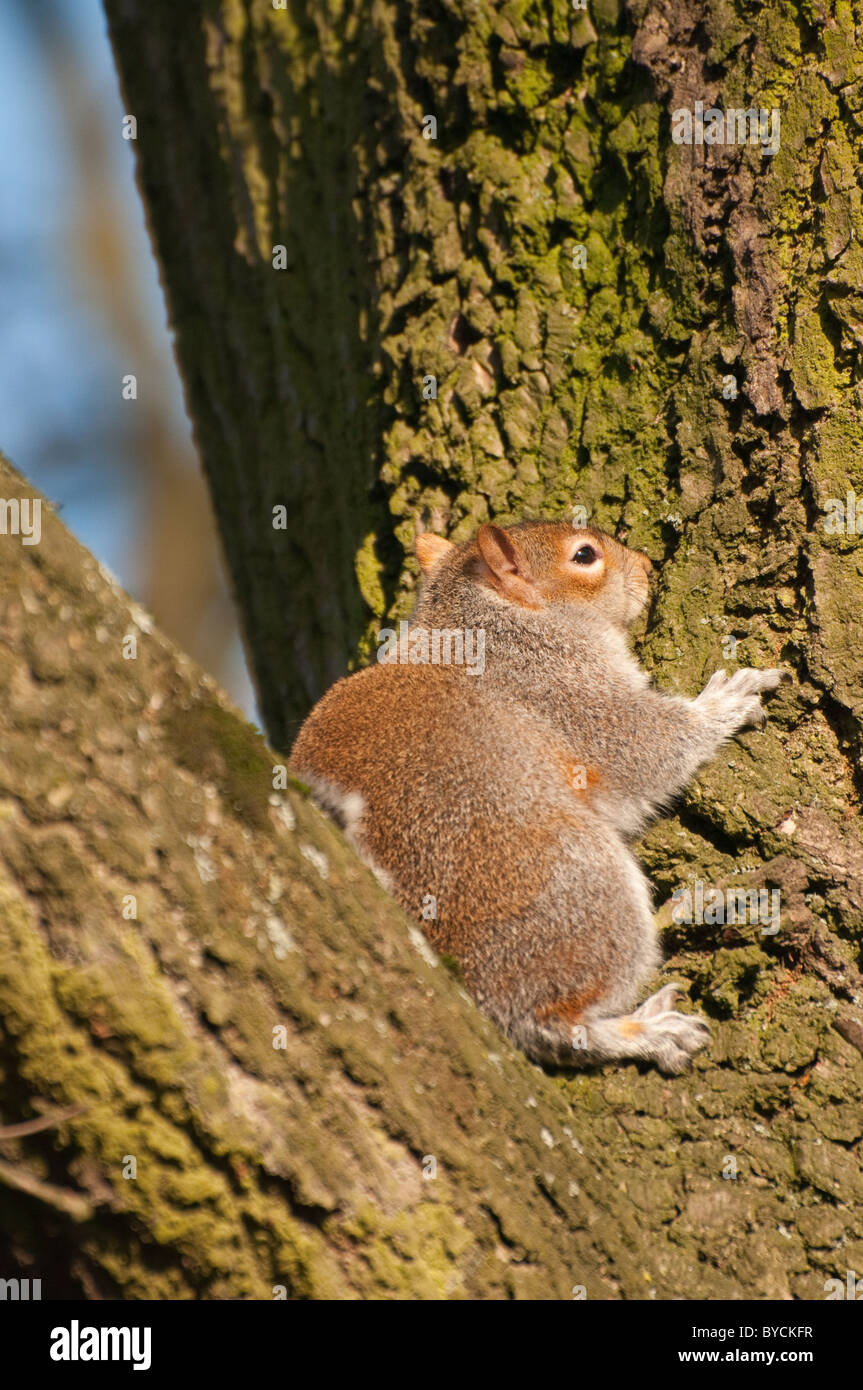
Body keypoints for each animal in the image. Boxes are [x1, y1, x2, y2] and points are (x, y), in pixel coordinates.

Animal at [290, 522, 789, 1073]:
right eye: (584, 555)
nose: (647, 566)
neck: (488, 620)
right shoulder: (562, 693)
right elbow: (645, 746)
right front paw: (726, 701)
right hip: (579, 884)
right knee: (552, 1024)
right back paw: (652, 1018)